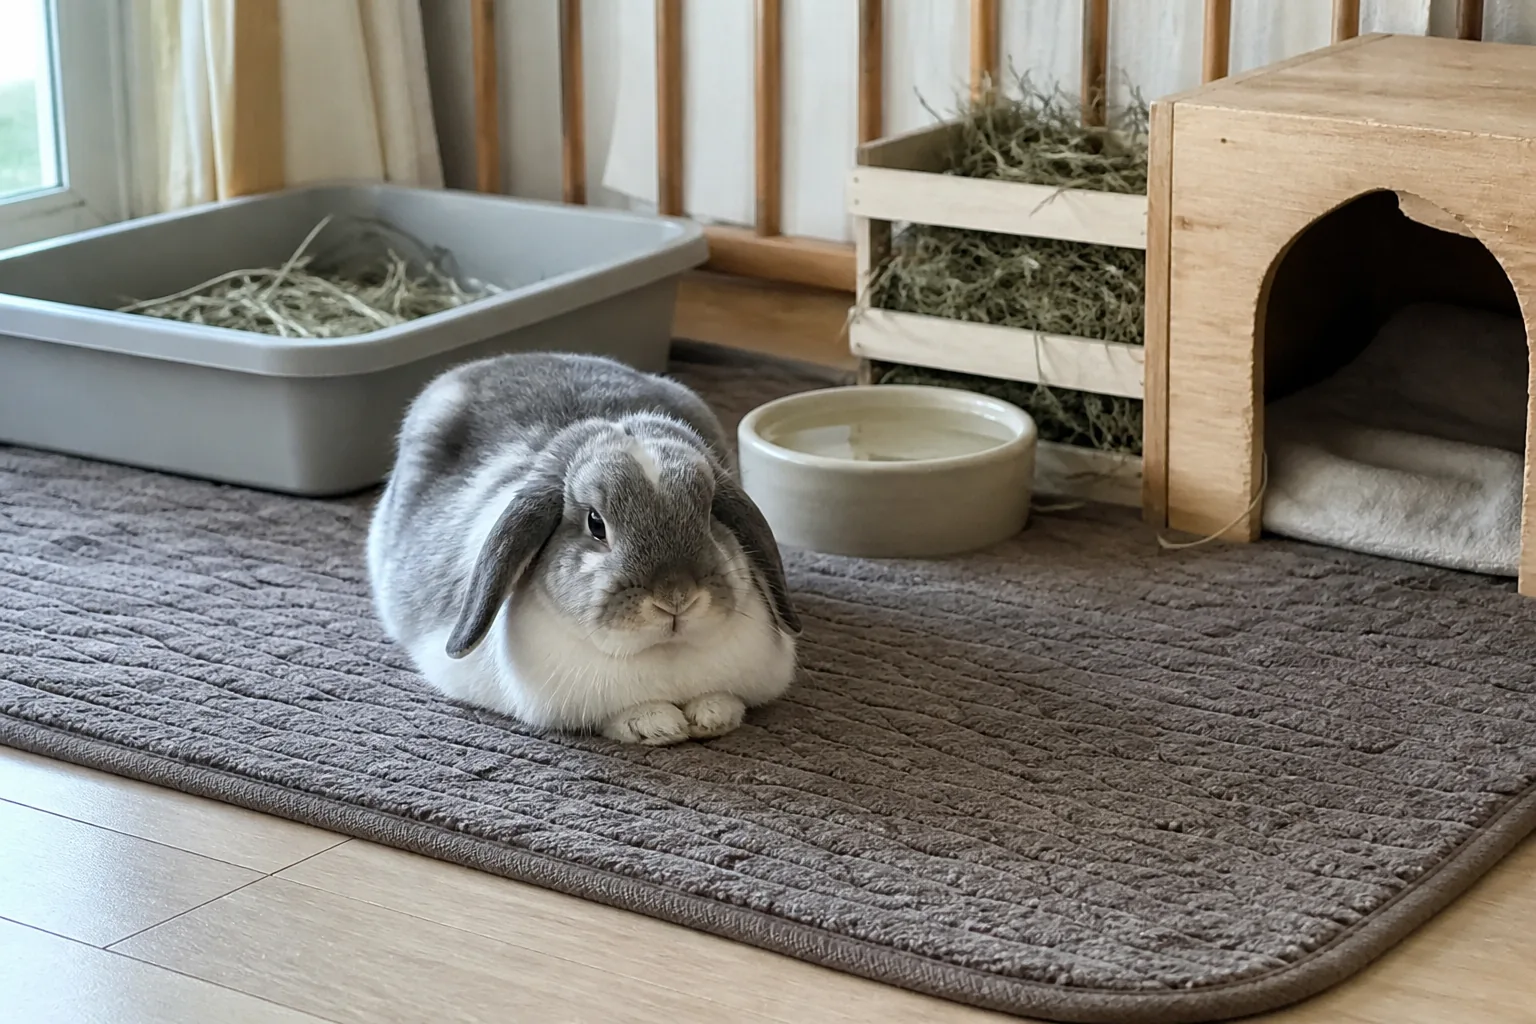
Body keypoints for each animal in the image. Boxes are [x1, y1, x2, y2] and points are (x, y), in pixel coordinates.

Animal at [366, 350, 802, 746]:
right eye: (596, 523)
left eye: (711, 512)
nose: (676, 597)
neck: (665, 654)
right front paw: (657, 725)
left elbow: (722, 701)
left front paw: (712, 715)